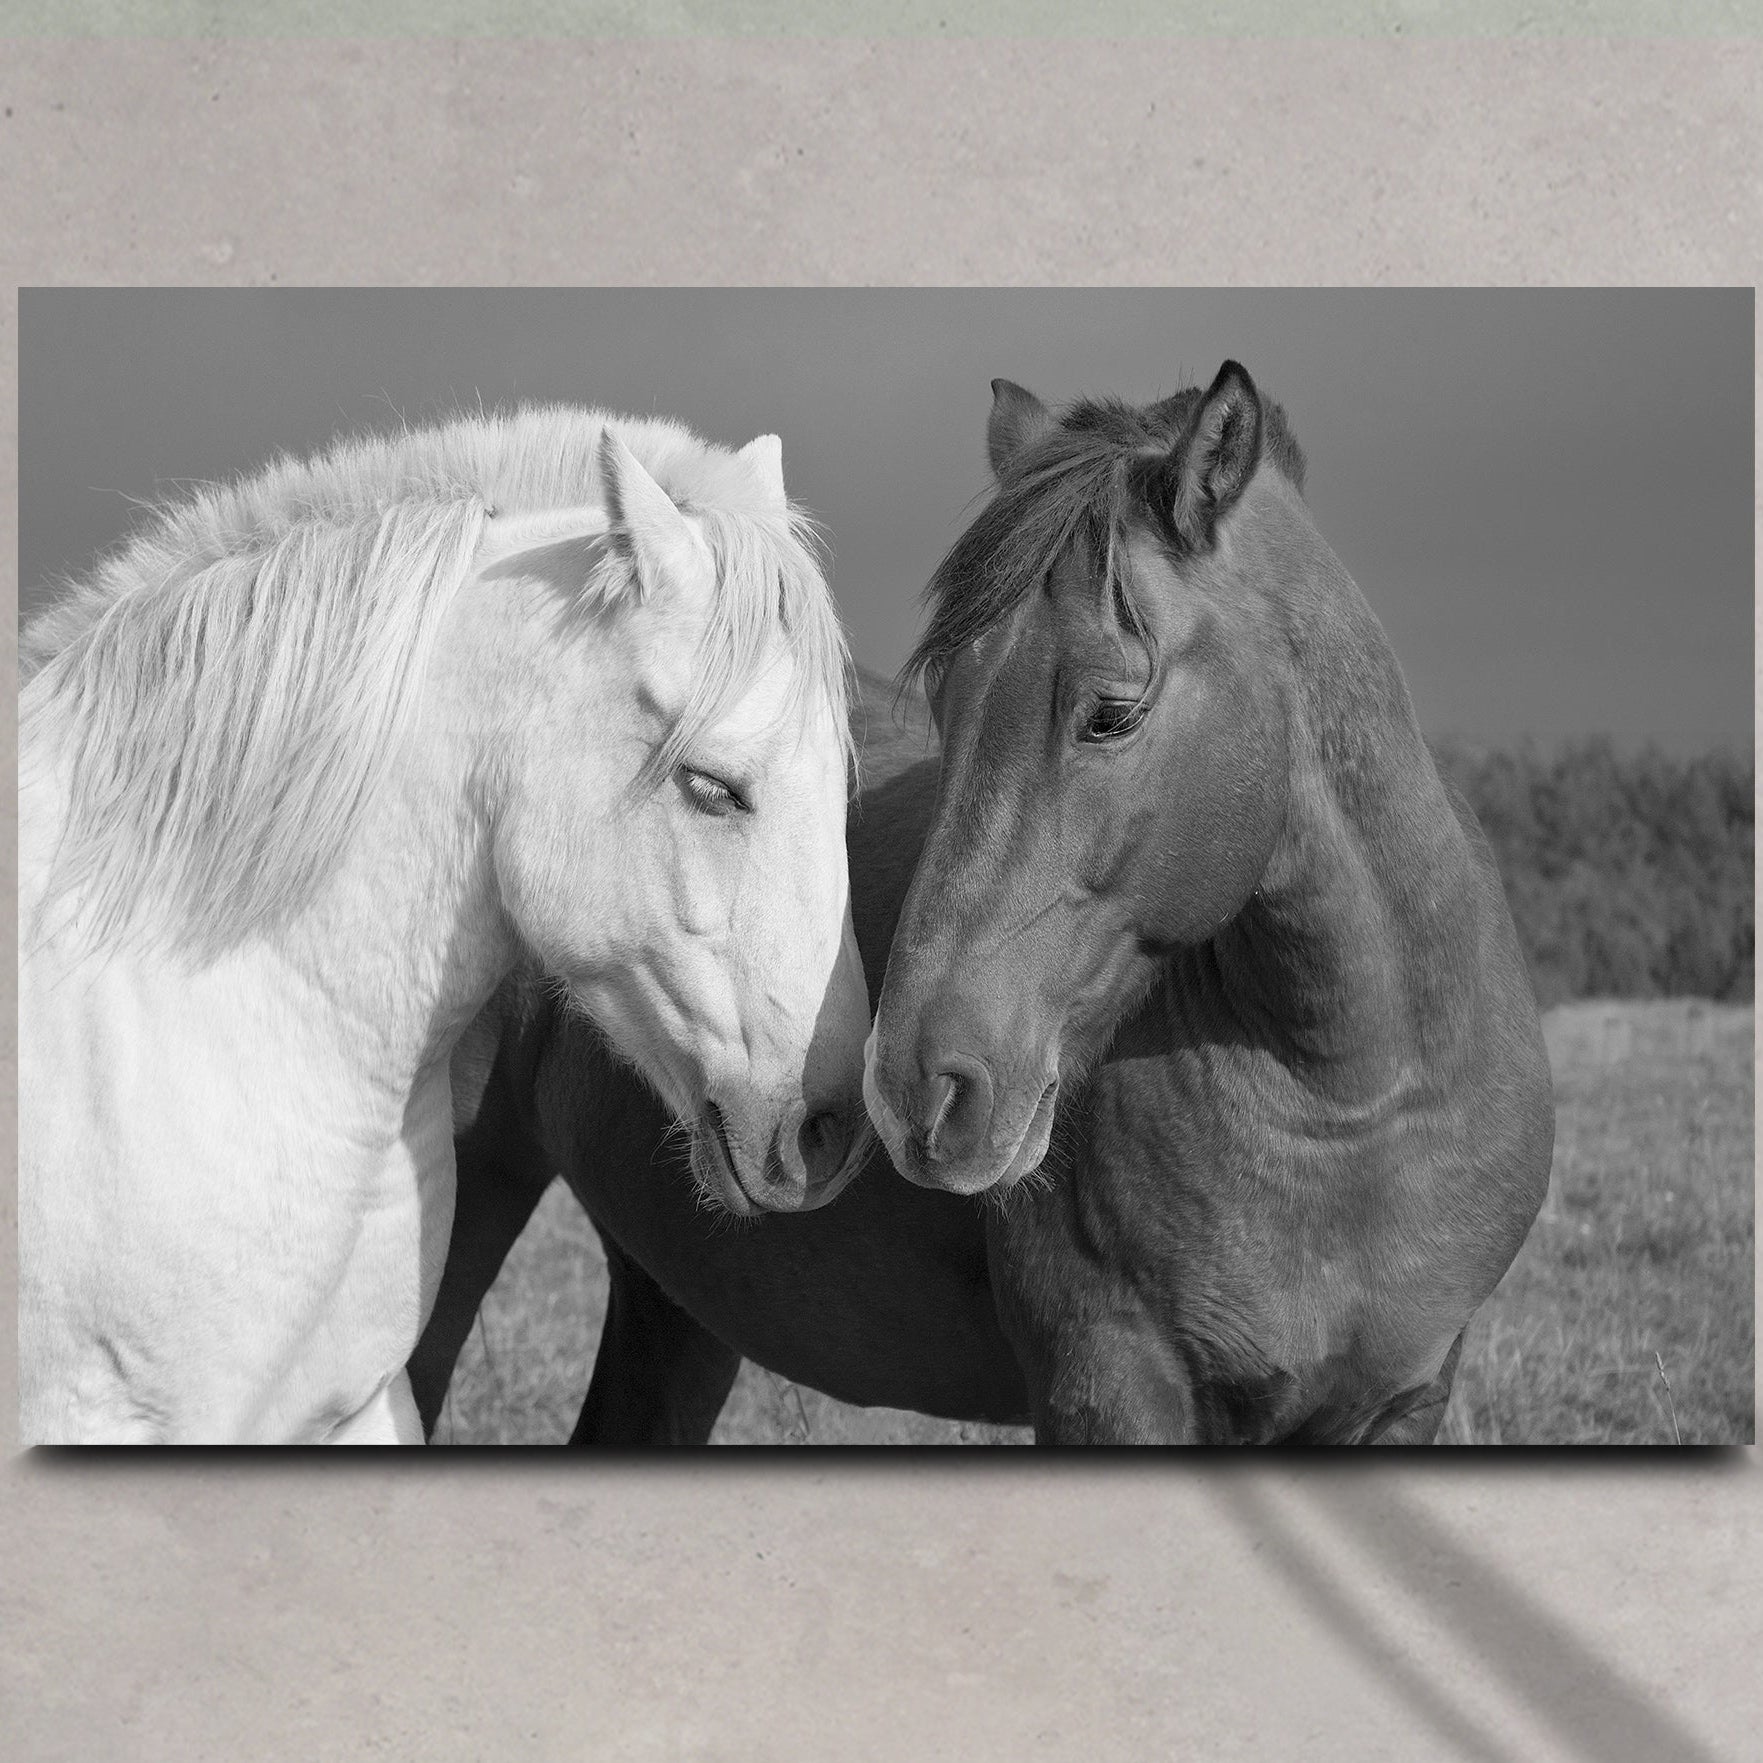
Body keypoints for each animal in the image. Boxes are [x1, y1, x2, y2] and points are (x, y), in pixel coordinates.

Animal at [863, 363, 1556, 1443]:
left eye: (1111, 713)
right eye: (944, 700)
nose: (914, 1089)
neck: (1354, 1103)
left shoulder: (1405, 1397)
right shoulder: (1106, 1387)